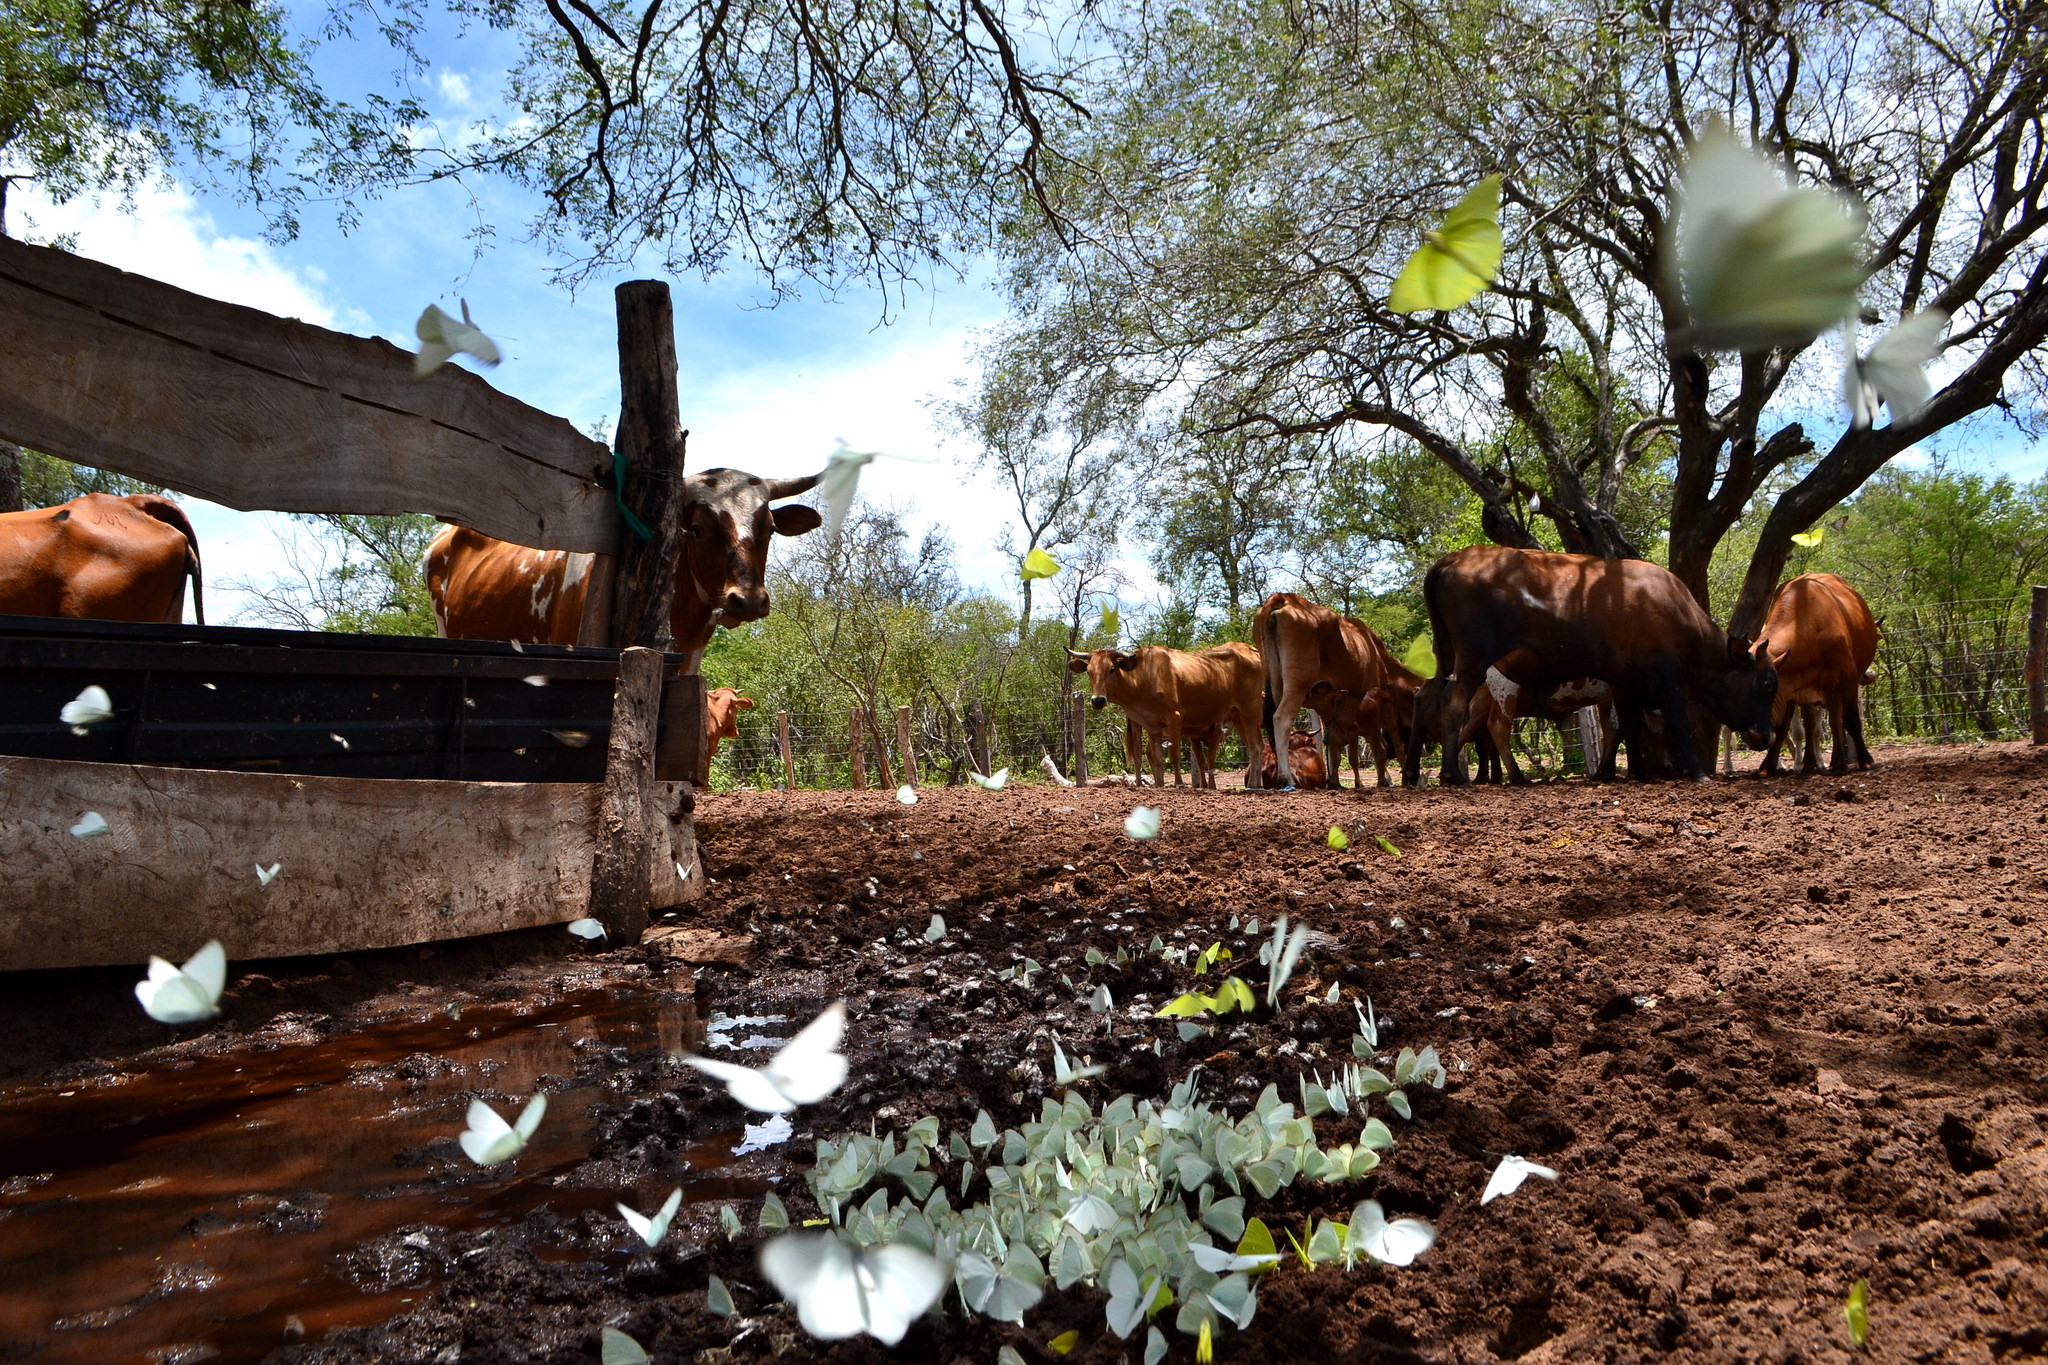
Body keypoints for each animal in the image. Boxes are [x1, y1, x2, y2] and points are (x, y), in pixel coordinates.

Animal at [1073, 642, 1261, 789]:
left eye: (1111, 669)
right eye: (1089, 671)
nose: (1097, 700)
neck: (1145, 676)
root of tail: (1251, 650)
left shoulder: (1175, 718)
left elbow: (1175, 754)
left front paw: (1179, 784)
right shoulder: (1152, 726)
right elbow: (1157, 758)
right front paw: (1159, 785)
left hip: (1250, 711)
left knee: (1256, 746)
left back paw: (1253, 785)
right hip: (1239, 717)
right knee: (1256, 746)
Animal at [1425, 548, 1777, 785]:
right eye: (1766, 684)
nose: (1766, 734)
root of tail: (1454, 558)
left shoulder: (1623, 681)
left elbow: (1629, 726)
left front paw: (1636, 773)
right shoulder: (1664, 674)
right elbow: (1677, 722)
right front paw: (1696, 771)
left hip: (1450, 660)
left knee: (1437, 697)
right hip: (1474, 660)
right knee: (1456, 703)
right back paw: (1453, 774)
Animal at [1753, 573, 1875, 773]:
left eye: (1767, 685)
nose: (1753, 735)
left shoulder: (1847, 676)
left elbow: (1851, 719)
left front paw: (1866, 760)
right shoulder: (1791, 688)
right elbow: (1787, 727)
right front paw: (1768, 765)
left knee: (1835, 720)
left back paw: (1837, 760)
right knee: (1816, 724)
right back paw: (1815, 761)